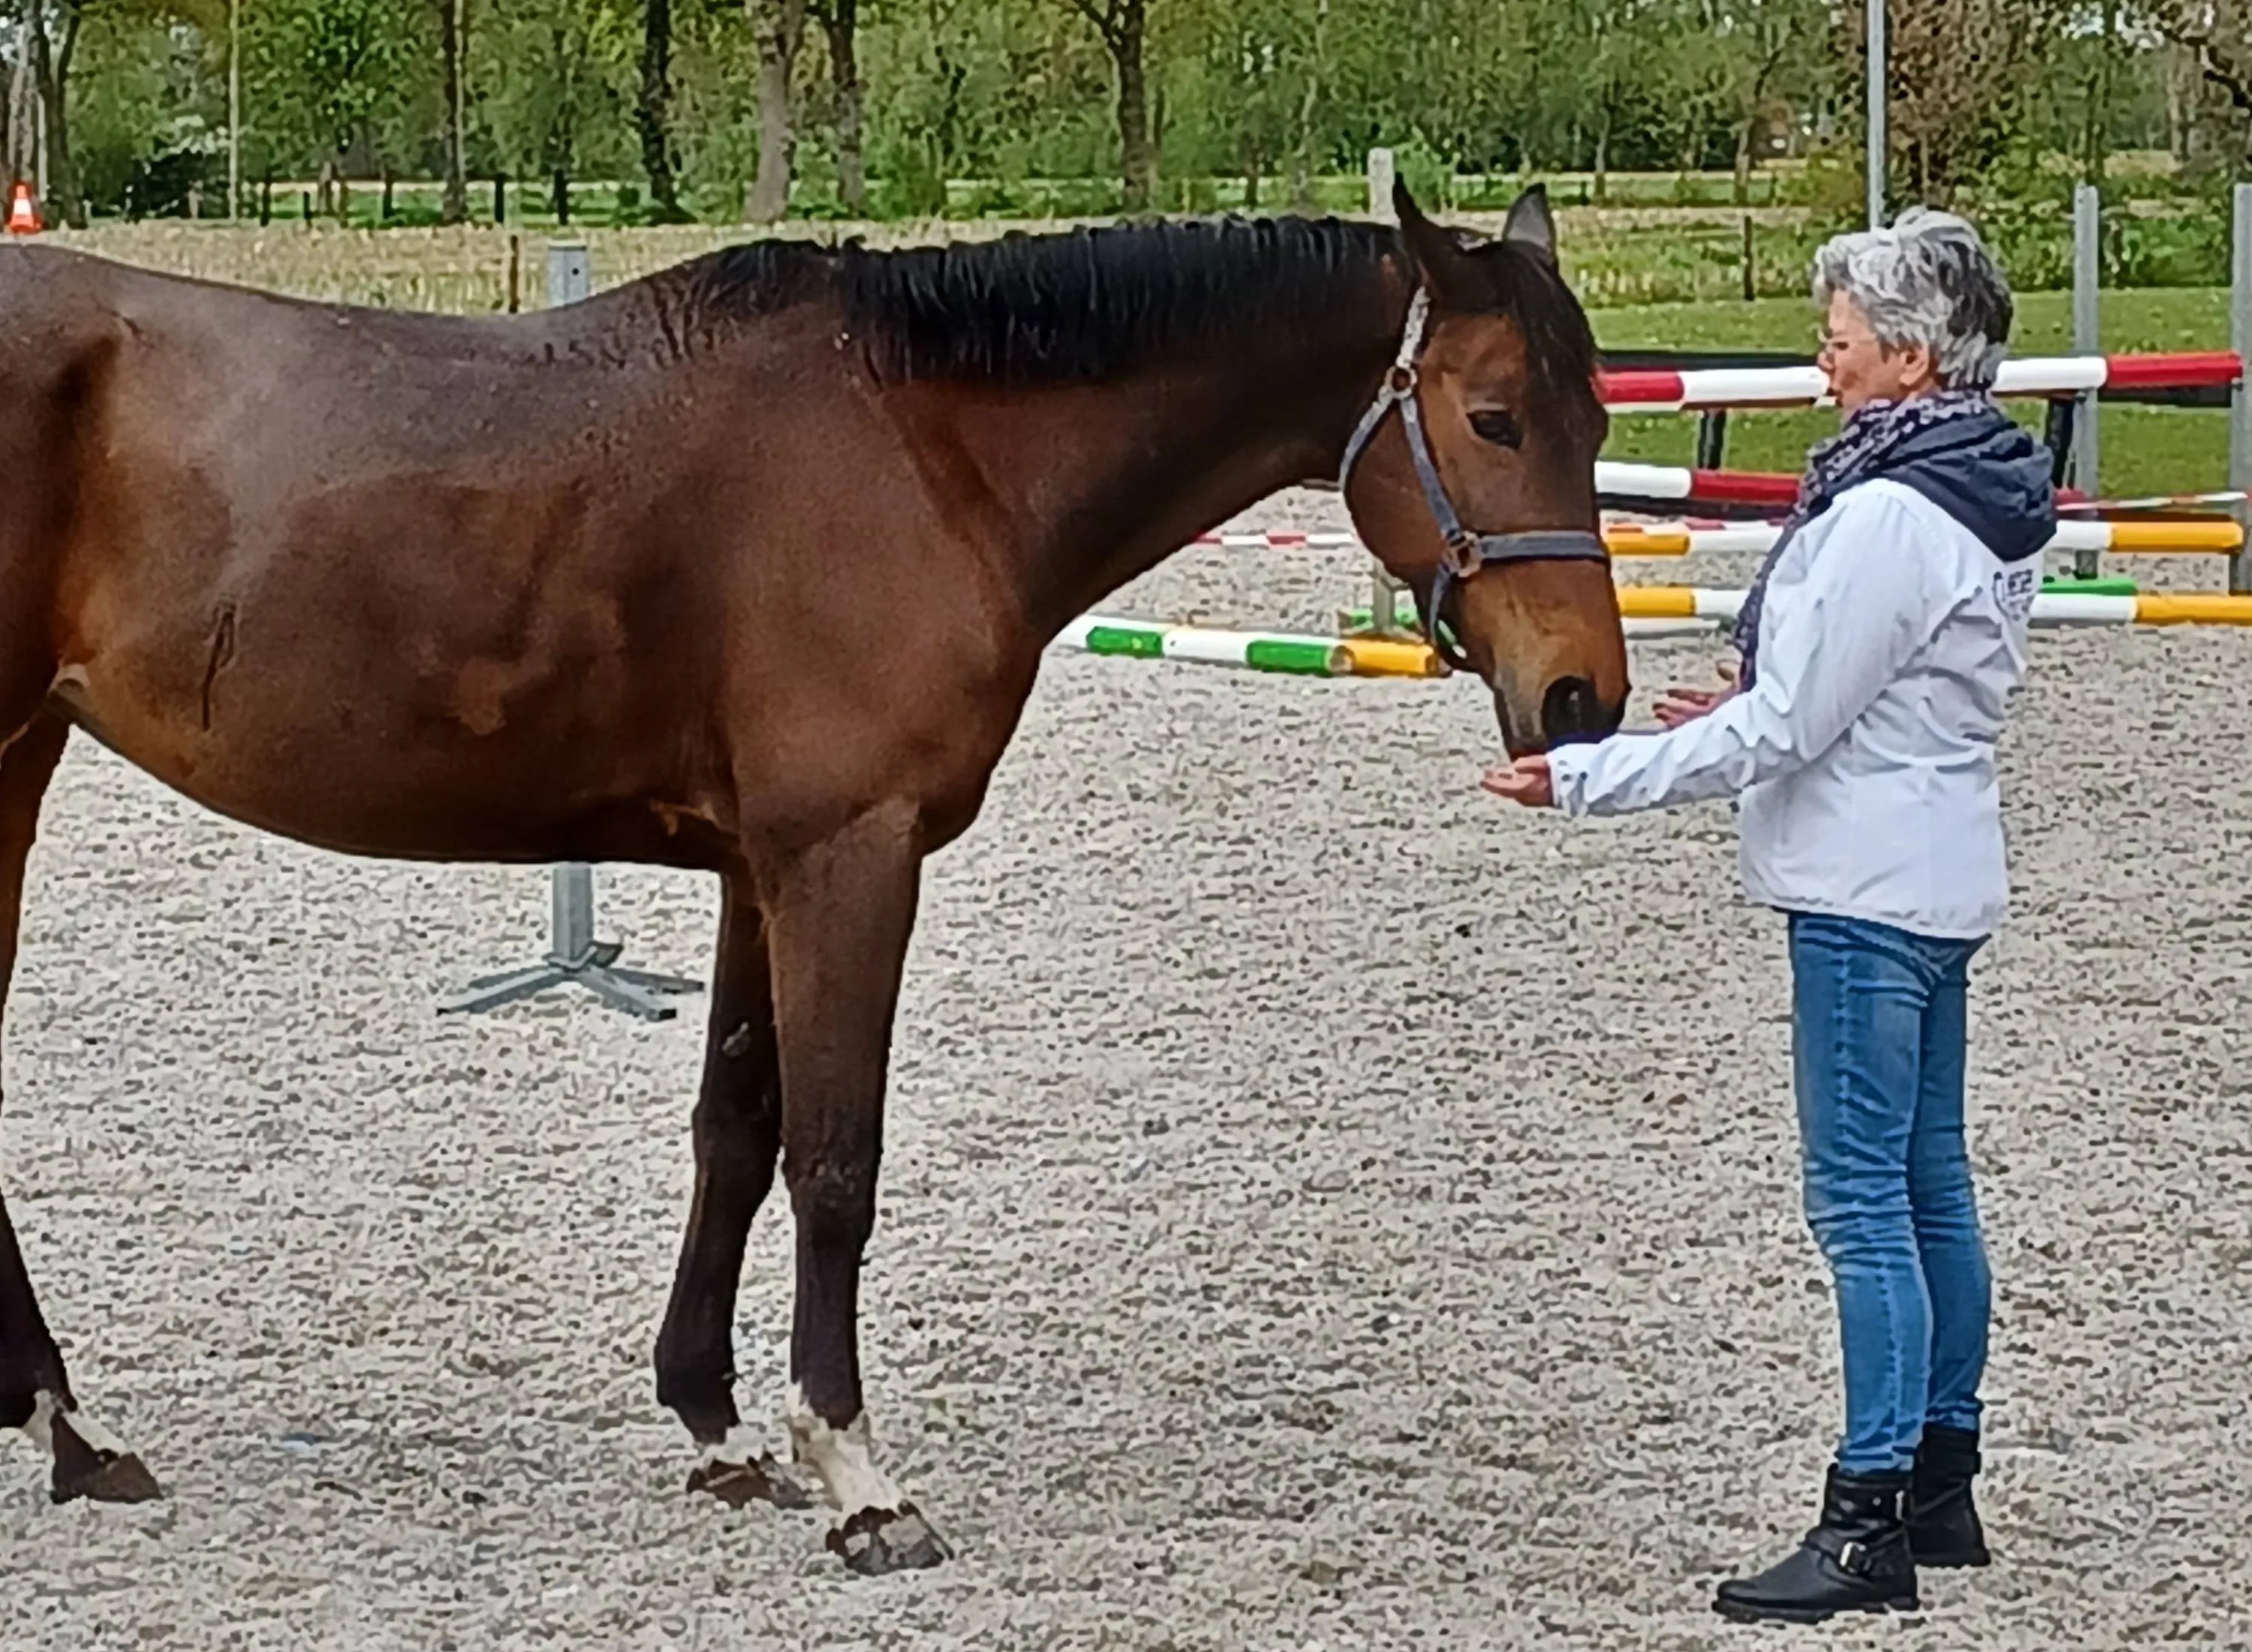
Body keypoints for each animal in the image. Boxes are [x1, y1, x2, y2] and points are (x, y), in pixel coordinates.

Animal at [0, 181, 1626, 1572]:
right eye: (1493, 416)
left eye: (1599, 413)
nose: (1582, 698)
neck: (922, 448)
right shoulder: (849, 853)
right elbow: (836, 1158)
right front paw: (856, 1471)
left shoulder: (754, 867)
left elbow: (735, 1127)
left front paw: (718, 1425)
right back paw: (64, 1418)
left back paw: (72, 1432)